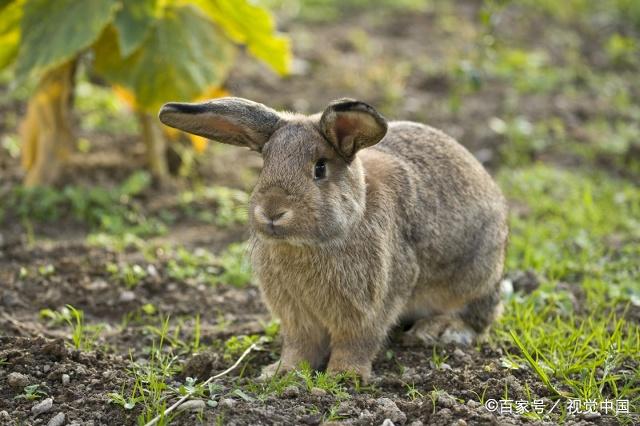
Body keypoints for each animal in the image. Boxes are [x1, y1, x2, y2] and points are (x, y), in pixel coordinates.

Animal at [160, 97, 510, 382]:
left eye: (320, 168)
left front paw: (344, 376)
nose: (272, 211)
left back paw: (437, 329)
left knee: (476, 316)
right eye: (264, 165)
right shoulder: (296, 317)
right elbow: (300, 346)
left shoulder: (370, 306)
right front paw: (282, 372)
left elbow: (356, 342)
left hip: (476, 274)